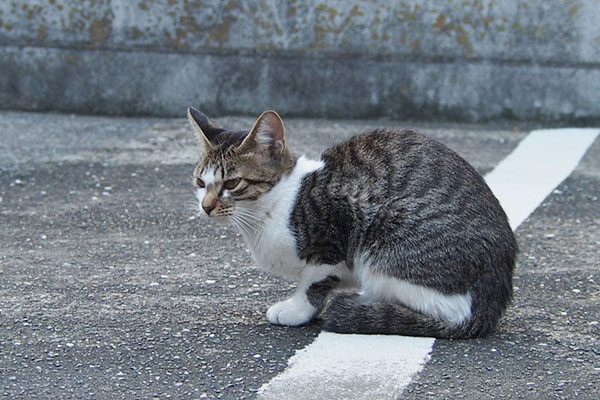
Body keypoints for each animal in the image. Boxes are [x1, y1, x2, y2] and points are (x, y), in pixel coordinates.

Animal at [188, 106, 516, 338]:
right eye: (200, 183)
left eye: (232, 183)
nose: (206, 206)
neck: (275, 206)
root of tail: (489, 303)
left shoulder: (334, 234)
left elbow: (313, 282)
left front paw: (297, 309)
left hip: (388, 235)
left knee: (445, 309)